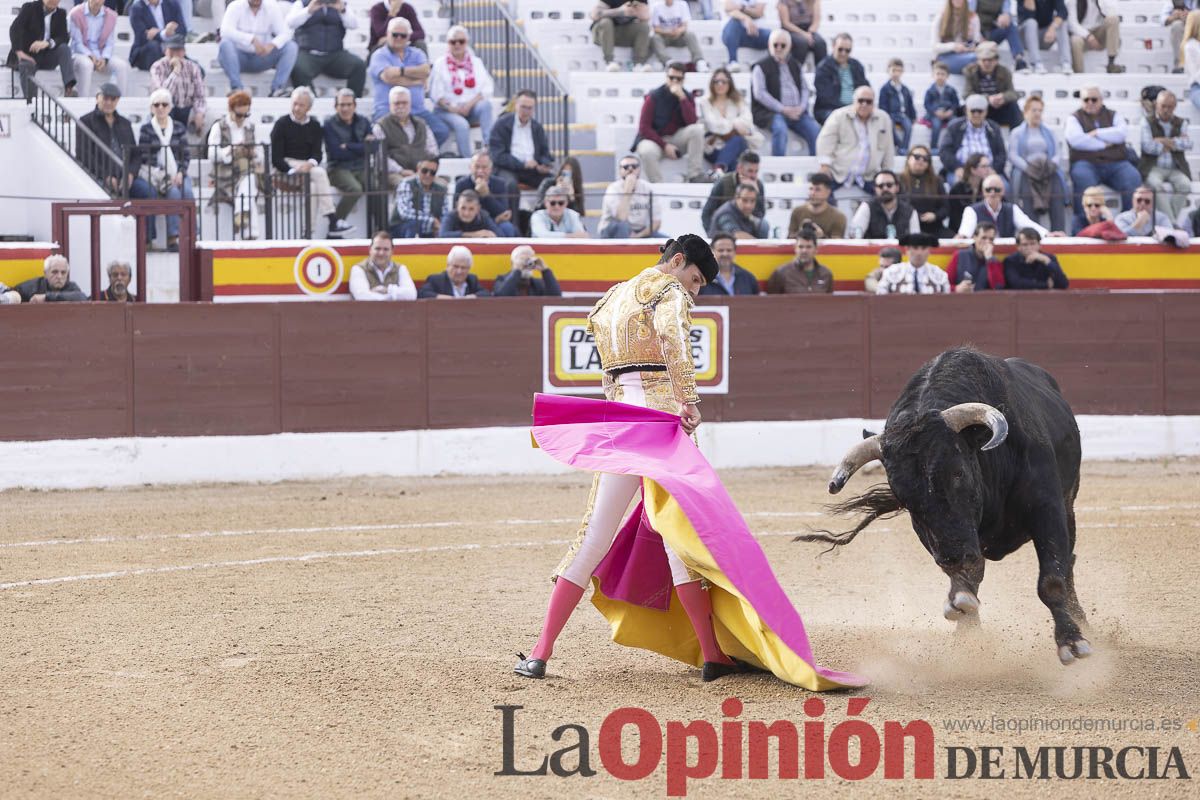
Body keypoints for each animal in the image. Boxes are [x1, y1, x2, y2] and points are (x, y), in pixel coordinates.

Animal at [801, 347, 1094, 666]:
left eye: (958, 473)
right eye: (902, 496)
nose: (954, 556)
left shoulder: (1047, 508)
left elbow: (1052, 579)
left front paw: (1072, 642)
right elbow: (969, 579)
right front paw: (965, 623)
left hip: (1069, 507)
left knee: (1068, 563)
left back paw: (1082, 621)